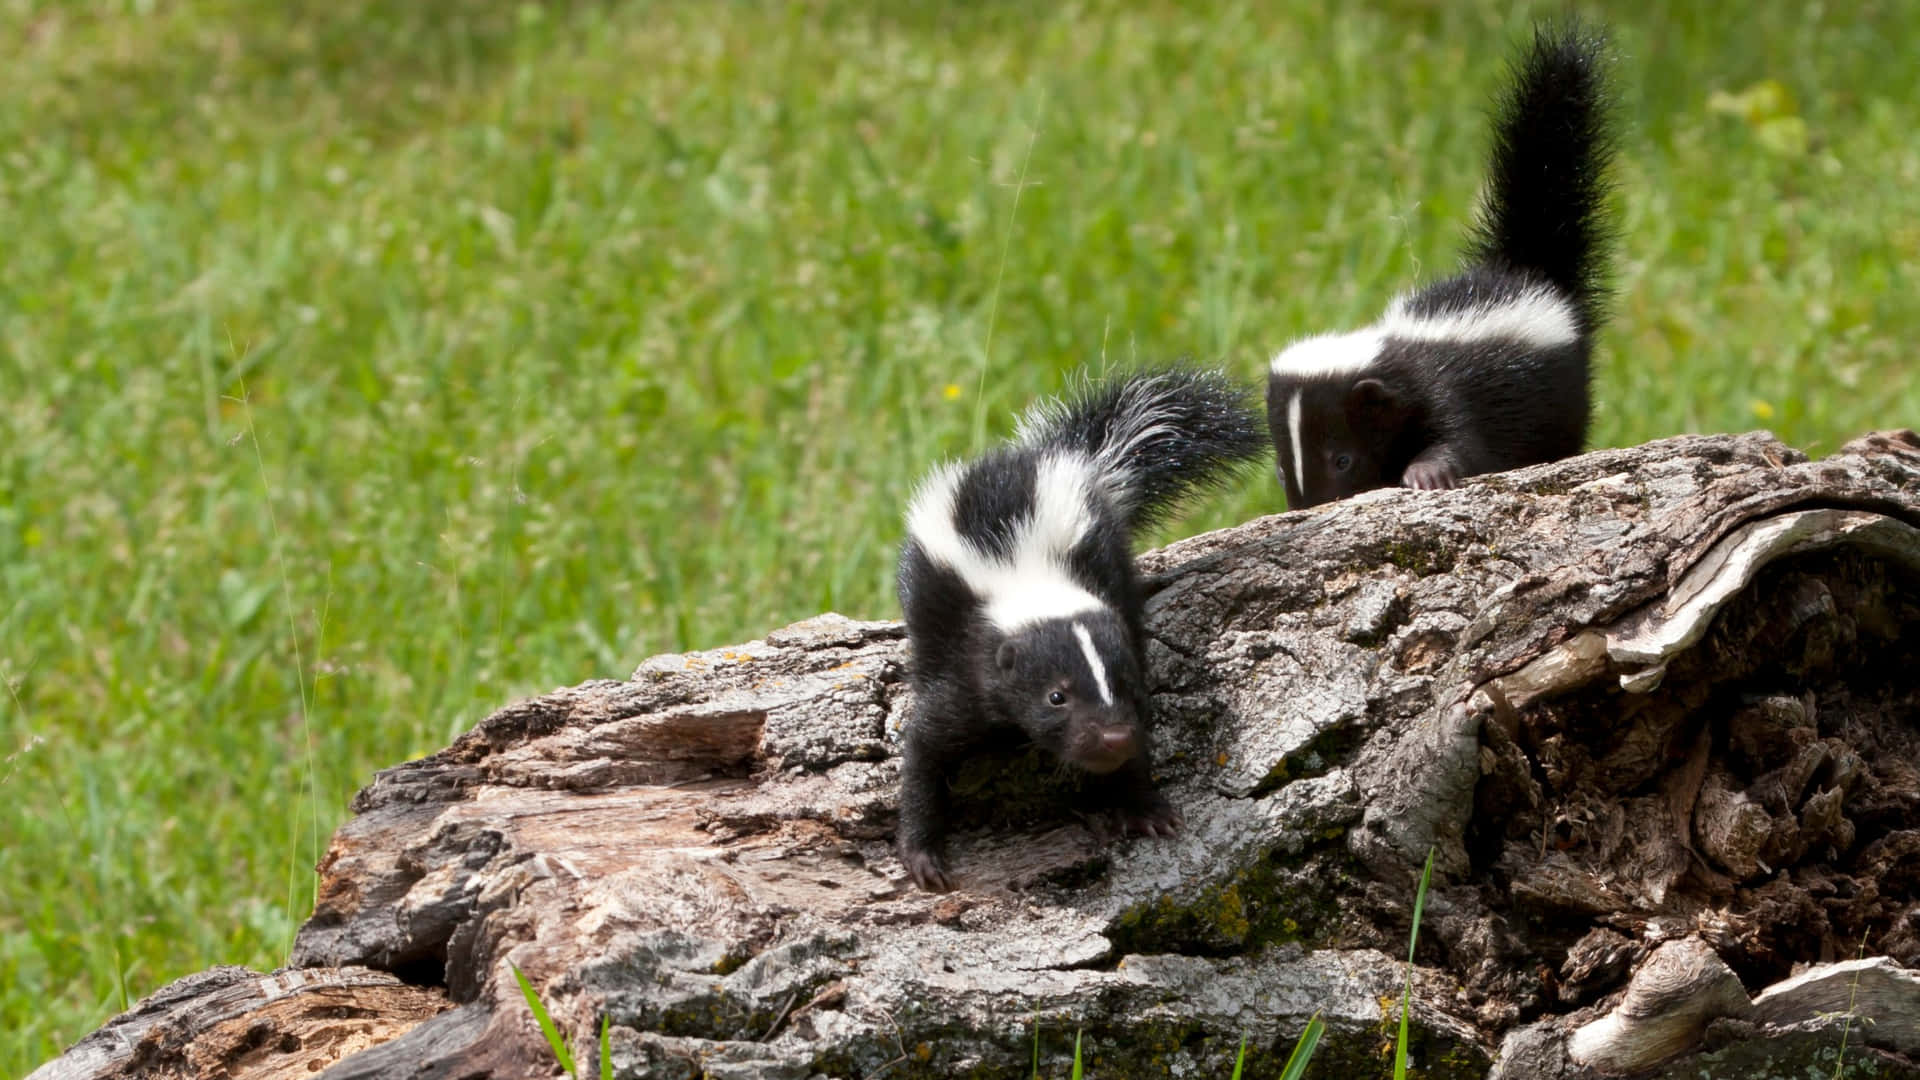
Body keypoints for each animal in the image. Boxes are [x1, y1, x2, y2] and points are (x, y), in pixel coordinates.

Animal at [890, 365, 1267, 887]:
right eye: (1056, 696)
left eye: (1126, 685)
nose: (1112, 737)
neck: (1026, 573)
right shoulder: (964, 669)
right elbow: (925, 749)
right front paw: (923, 855)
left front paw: (1145, 806)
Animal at [1274, 19, 1620, 507]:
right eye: (1281, 471)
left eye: (1342, 459)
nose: (1313, 507)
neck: (1397, 354)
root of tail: (1524, 269)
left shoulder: (1446, 390)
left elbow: (1462, 439)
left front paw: (1427, 473)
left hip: (1562, 392)